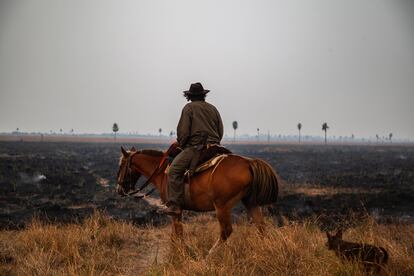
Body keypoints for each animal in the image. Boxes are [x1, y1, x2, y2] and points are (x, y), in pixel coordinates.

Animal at [116, 147, 278, 252]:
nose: (119, 189)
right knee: (261, 227)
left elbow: (178, 233)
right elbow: (176, 234)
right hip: (250, 203)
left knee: (226, 231)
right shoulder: (179, 211)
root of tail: (249, 162)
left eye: (121, 165)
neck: (162, 172)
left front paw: (180, 253)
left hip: (222, 207)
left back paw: (210, 255)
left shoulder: (174, 209)